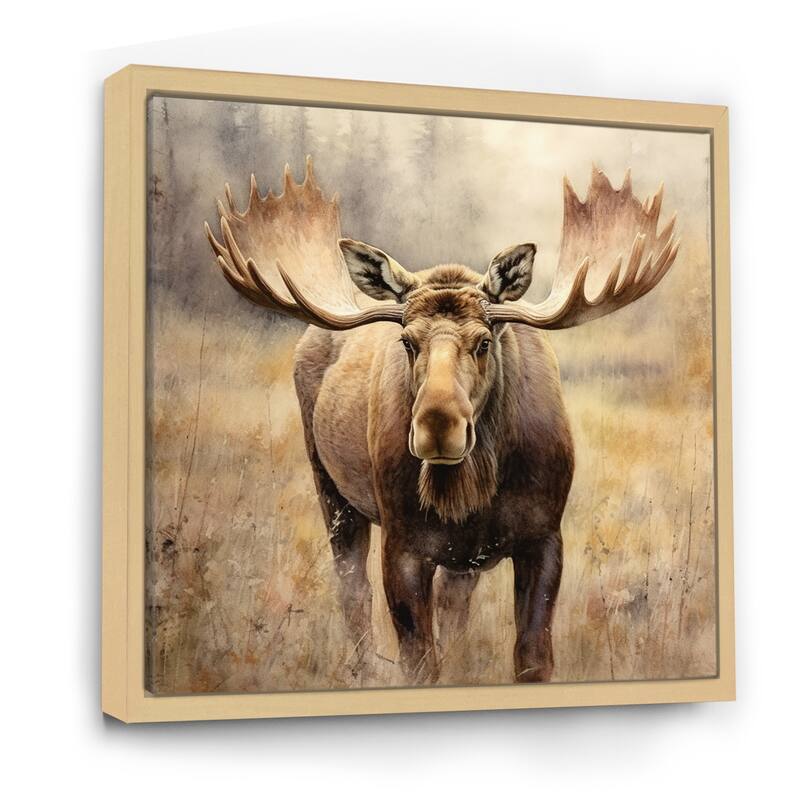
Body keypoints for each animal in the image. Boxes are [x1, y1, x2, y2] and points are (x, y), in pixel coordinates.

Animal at [205, 157, 679, 684]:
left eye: (485, 341)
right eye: (407, 341)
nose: (437, 428)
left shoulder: (544, 534)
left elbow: (531, 658)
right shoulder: (403, 543)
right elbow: (418, 661)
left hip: (456, 554)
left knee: (452, 607)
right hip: (330, 487)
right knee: (352, 592)